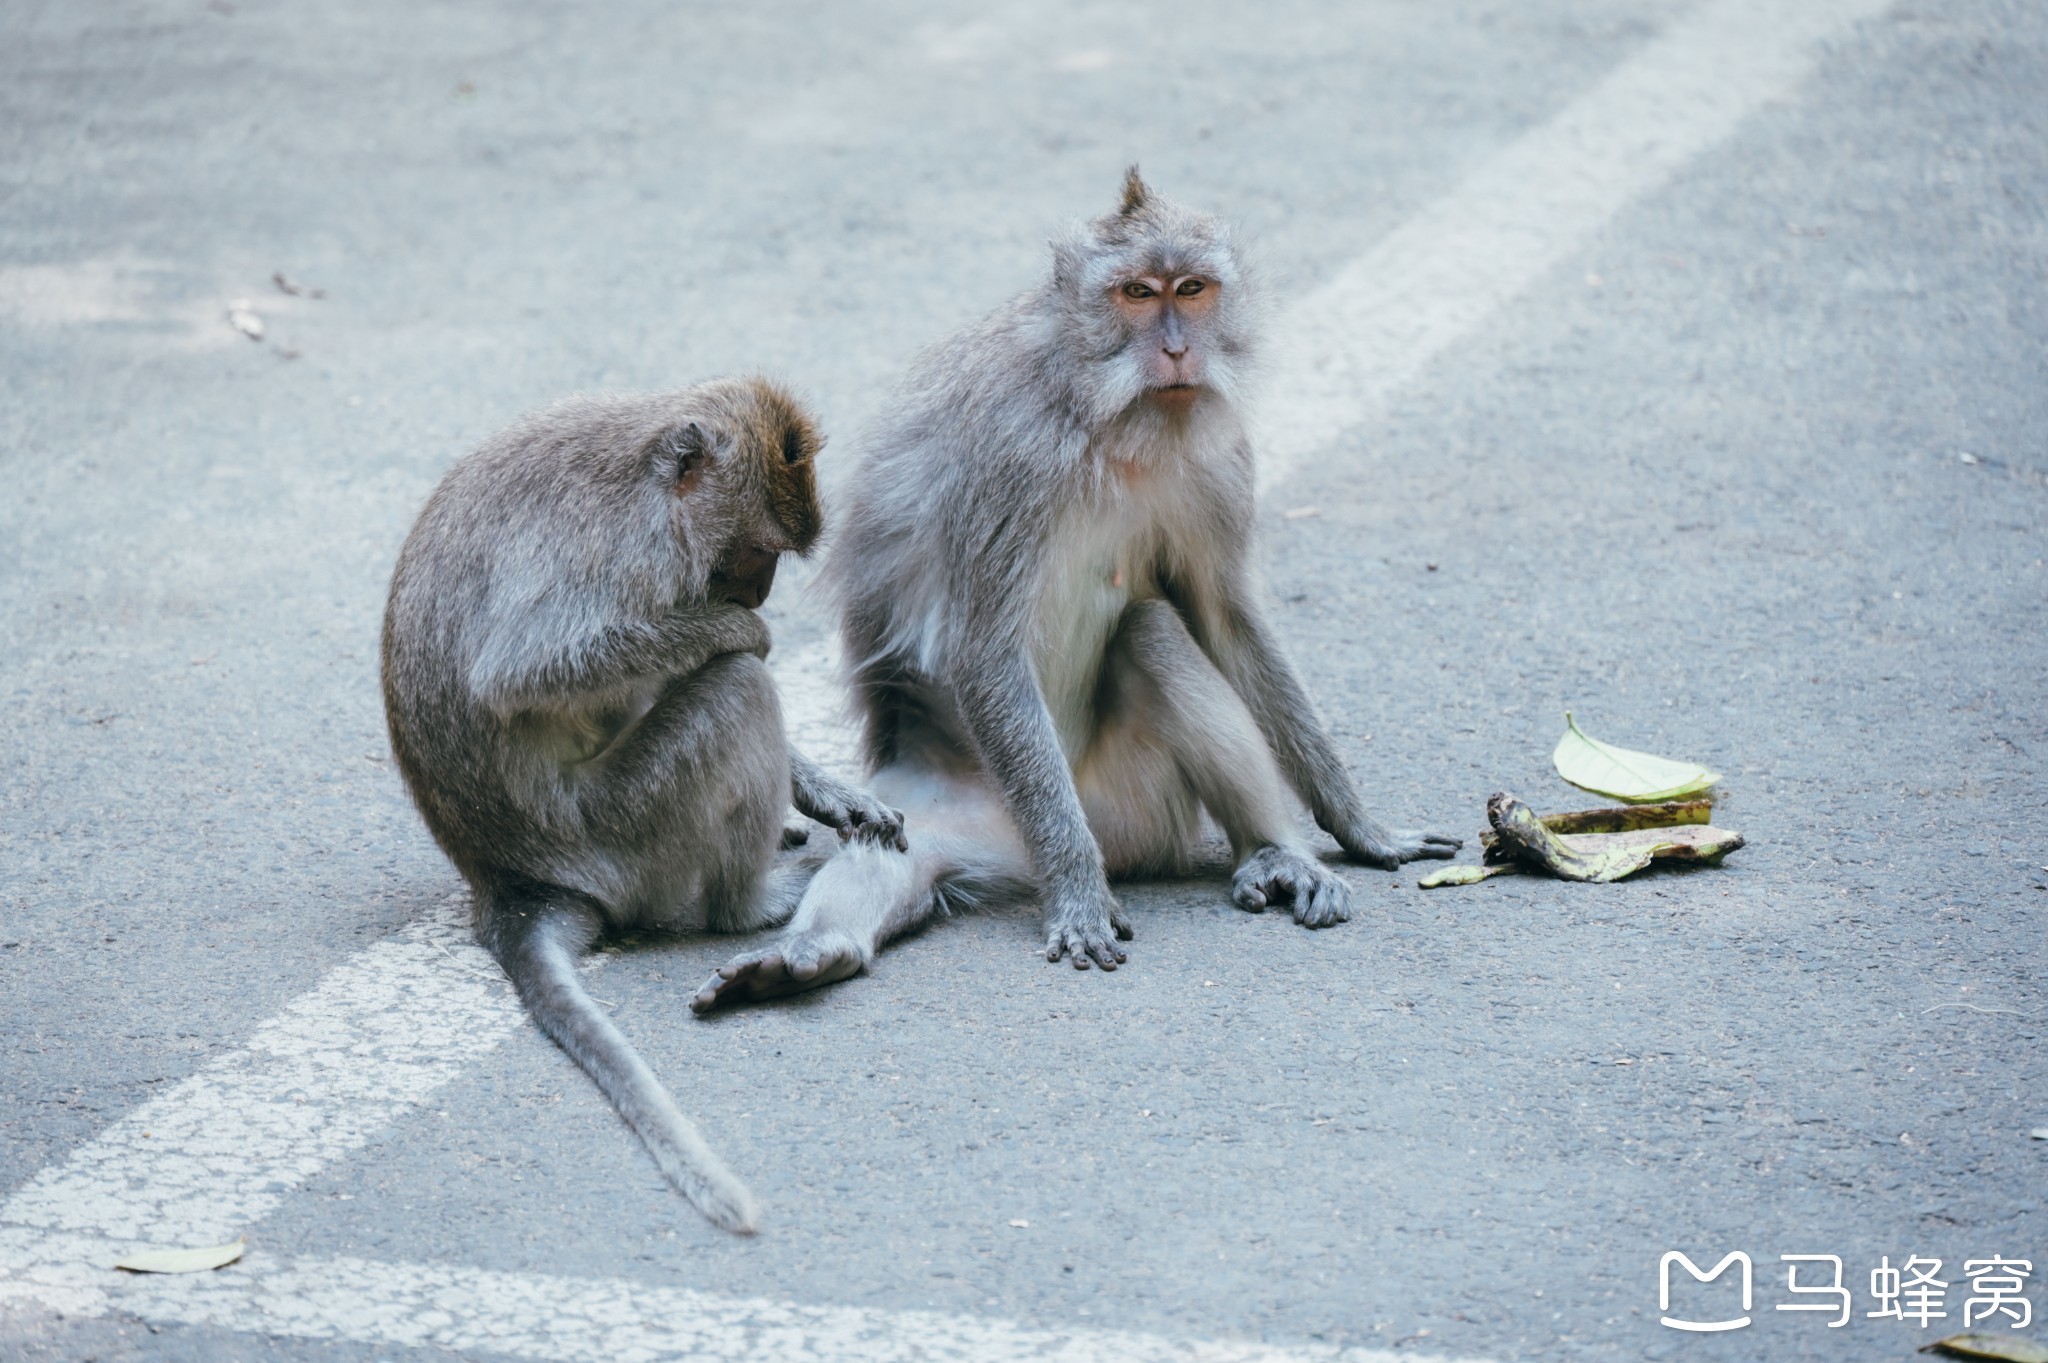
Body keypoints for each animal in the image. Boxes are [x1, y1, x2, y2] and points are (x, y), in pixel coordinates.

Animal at [378, 374, 905, 1227]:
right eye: (756, 551)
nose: (758, 593)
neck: (649, 475)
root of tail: (511, 883)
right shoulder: (627, 552)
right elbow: (521, 671)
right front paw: (736, 627)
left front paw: (828, 791)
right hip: (627, 826)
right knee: (736, 687)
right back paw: (748, 903)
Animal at [696, 169, 1466, 1006]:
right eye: (1136, 293)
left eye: (1191, 289)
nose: (1175, 348)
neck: (1110, 419)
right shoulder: (1010, 453)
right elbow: (984, 650)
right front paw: (1076, 892)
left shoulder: (1219, 457)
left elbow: (1226, 620)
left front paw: (1361, 827)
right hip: (948, 810)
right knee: (882, 853)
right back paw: (819, 947)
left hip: (1138, 810)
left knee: (1152, 632)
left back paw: (1274, 852)